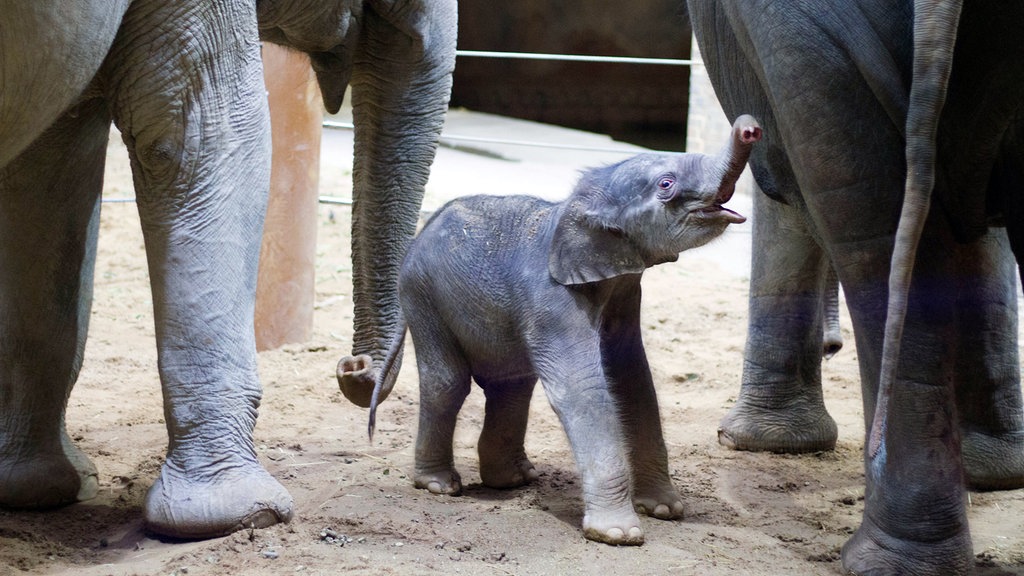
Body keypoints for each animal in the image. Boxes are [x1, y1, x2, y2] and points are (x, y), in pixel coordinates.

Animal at [368, 114, 761, 545]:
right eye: (666, 184)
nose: (751, 127)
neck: (579, 206)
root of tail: (421, 232)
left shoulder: (624, 292)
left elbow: (633, 380)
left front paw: (664, 510)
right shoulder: (552, 298)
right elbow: (582, 388)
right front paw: (620, 535)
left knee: (512, 384)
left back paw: (514, 479)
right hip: (422, 295)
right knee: (448, 382)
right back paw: (440, 485)